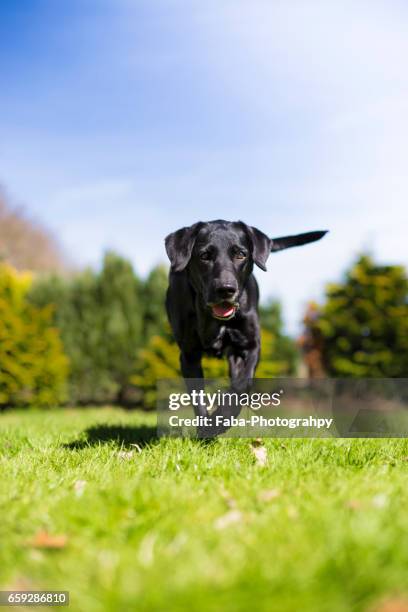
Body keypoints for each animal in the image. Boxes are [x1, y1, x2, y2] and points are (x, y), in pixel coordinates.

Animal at [164, 222, 326, 418]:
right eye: (204, 256)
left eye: (240, 254)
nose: (225, 289)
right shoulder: (189, 354)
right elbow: (198, 399)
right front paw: (209, 422)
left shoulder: (249, 346)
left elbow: (241, 385)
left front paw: (223, 415)